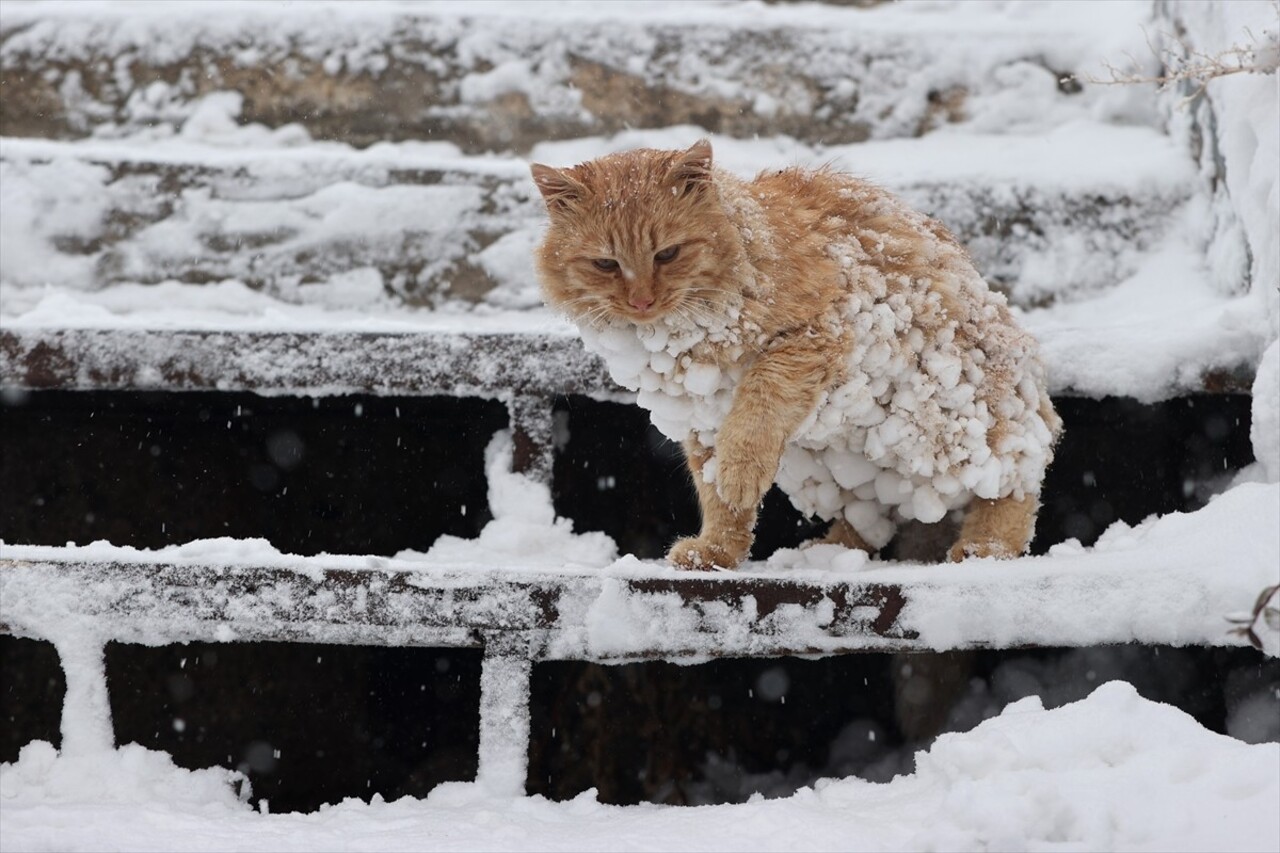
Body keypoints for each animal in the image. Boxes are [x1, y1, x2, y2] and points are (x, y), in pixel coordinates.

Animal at [529, 139, 1059, 568]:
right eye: (605, 264)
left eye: (667, 254)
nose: (642, 301)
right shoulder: (703, 417)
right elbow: (718, 498)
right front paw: (717, 551)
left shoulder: (810, 339)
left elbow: (755, 417)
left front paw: (740, 477)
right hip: (843, 463)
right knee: (875, 517)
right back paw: (826, 553)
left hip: (947, 427)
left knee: (1018, 479)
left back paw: (986, 548)